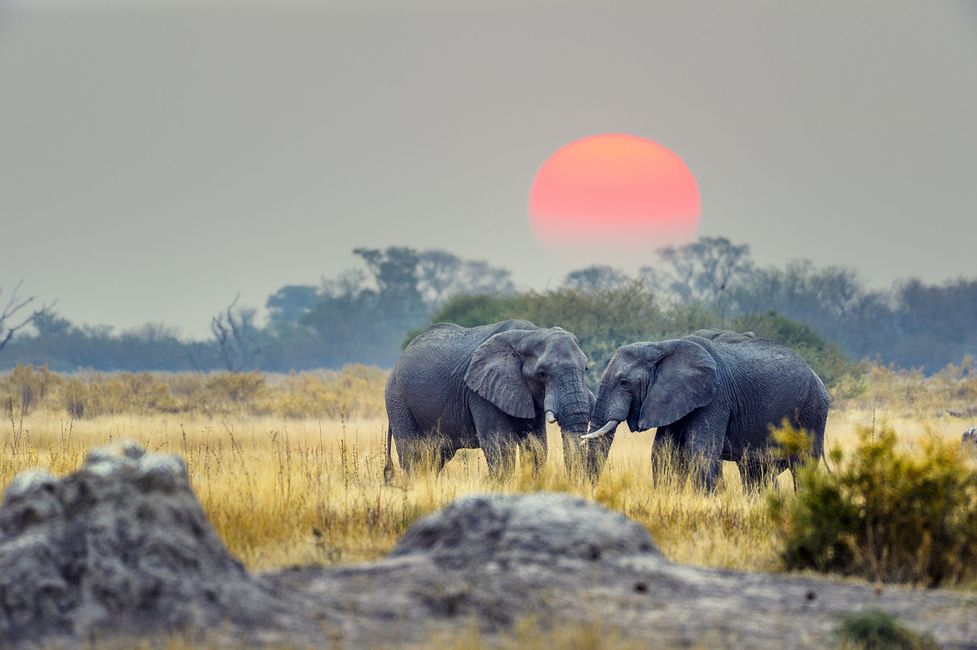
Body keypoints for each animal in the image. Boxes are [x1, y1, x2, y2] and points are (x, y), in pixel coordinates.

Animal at [384, 318, 604, 476]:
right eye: (542, 373)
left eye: (585, 368)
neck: (530, 335)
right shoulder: (480, 391)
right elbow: (499, 446)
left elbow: (537, 445)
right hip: (397, 399)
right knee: (413, 455)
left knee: (436, 457)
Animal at [584, 326, 828, 488]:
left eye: (624, 383)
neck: (662, 346)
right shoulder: (674, 399)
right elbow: (663, 452)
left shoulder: (715, 398)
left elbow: (701, 450)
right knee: (755, 472)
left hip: (812, 412)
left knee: (802, 467)